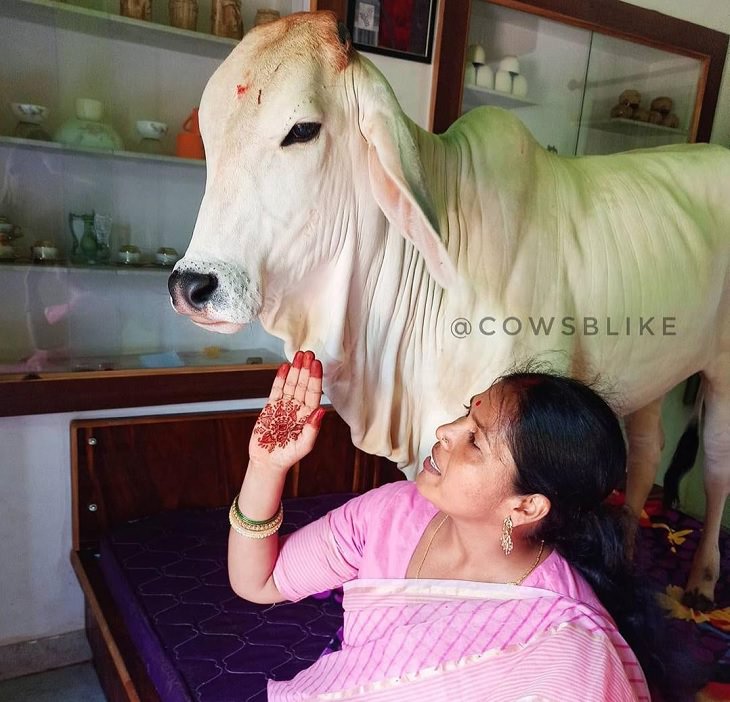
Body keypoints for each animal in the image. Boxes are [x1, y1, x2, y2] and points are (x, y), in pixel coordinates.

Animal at [168, 11, 728, 608]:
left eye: (302, 130)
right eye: (208, 136)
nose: (191, 285)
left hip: (721, 372)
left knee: (716, 469)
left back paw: (702, 579)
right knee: (647, 451)